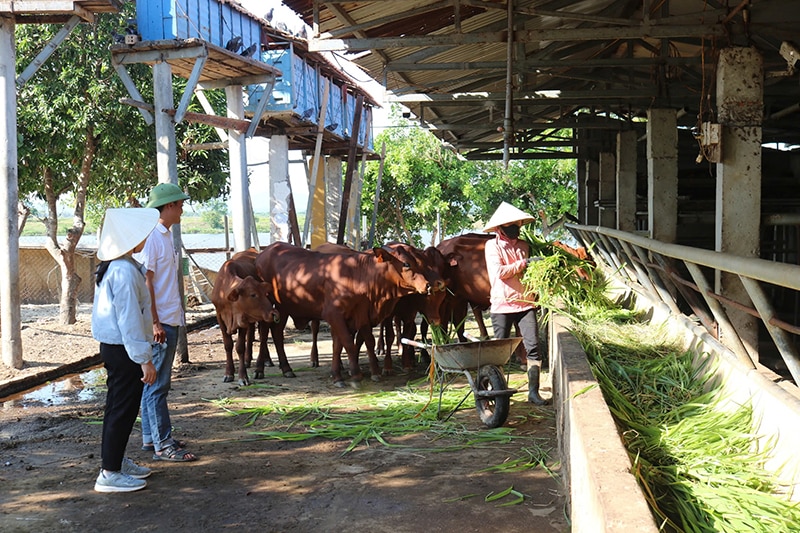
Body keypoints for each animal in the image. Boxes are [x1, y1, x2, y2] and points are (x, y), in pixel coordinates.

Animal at [256, 242, 440, 386]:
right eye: (406, 264)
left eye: (419, 261)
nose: (428, 285)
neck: (356, 275)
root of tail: (267, 250)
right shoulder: (334, 315)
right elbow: (348, 343)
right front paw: (355, 374)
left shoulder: (360, 314)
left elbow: (355, 343)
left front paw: (349, 374)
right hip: (268, 305)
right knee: (265, 332)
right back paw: (260, 369)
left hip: (283, 308)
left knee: (277, 333)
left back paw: (286, 368)